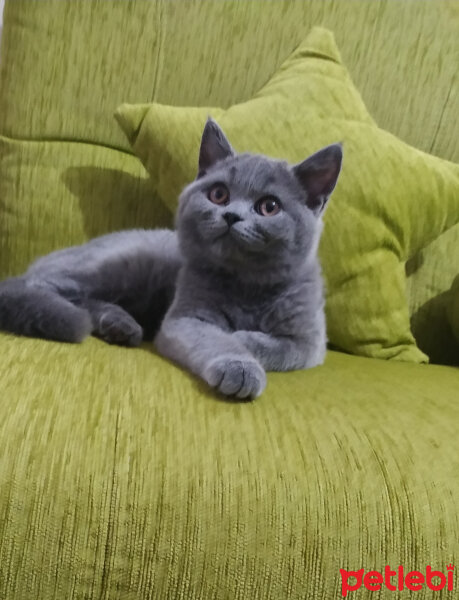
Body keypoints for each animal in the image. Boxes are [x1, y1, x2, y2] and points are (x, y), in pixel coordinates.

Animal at [0, 118, 342, 398]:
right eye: (219, 194)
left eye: (269, 207)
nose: (231, 216)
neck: (248, 285)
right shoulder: (185, 318)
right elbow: (214, 337)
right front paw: (239, 364)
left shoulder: (310, 340)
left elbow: (283, 347)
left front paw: (243, 338)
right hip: (122, 262)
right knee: (42, 285)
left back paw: (120, 325)